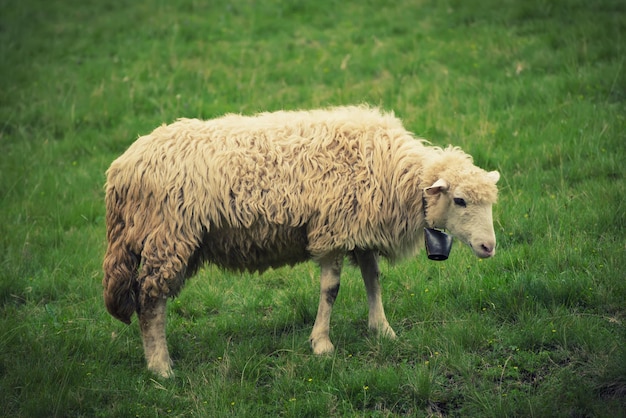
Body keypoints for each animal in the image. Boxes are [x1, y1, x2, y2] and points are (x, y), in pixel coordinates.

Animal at [105, 105, 500, 378]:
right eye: (460, 200)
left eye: (491, 202)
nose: (489, 248)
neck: (392, 172)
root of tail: (122, 168)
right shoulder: (332, 230)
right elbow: (331, 289)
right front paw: (322, 344)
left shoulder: (359, 229)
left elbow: (373, 280)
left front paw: (382, 330)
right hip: (167, 237)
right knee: (150, 300)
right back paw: (161, 367)